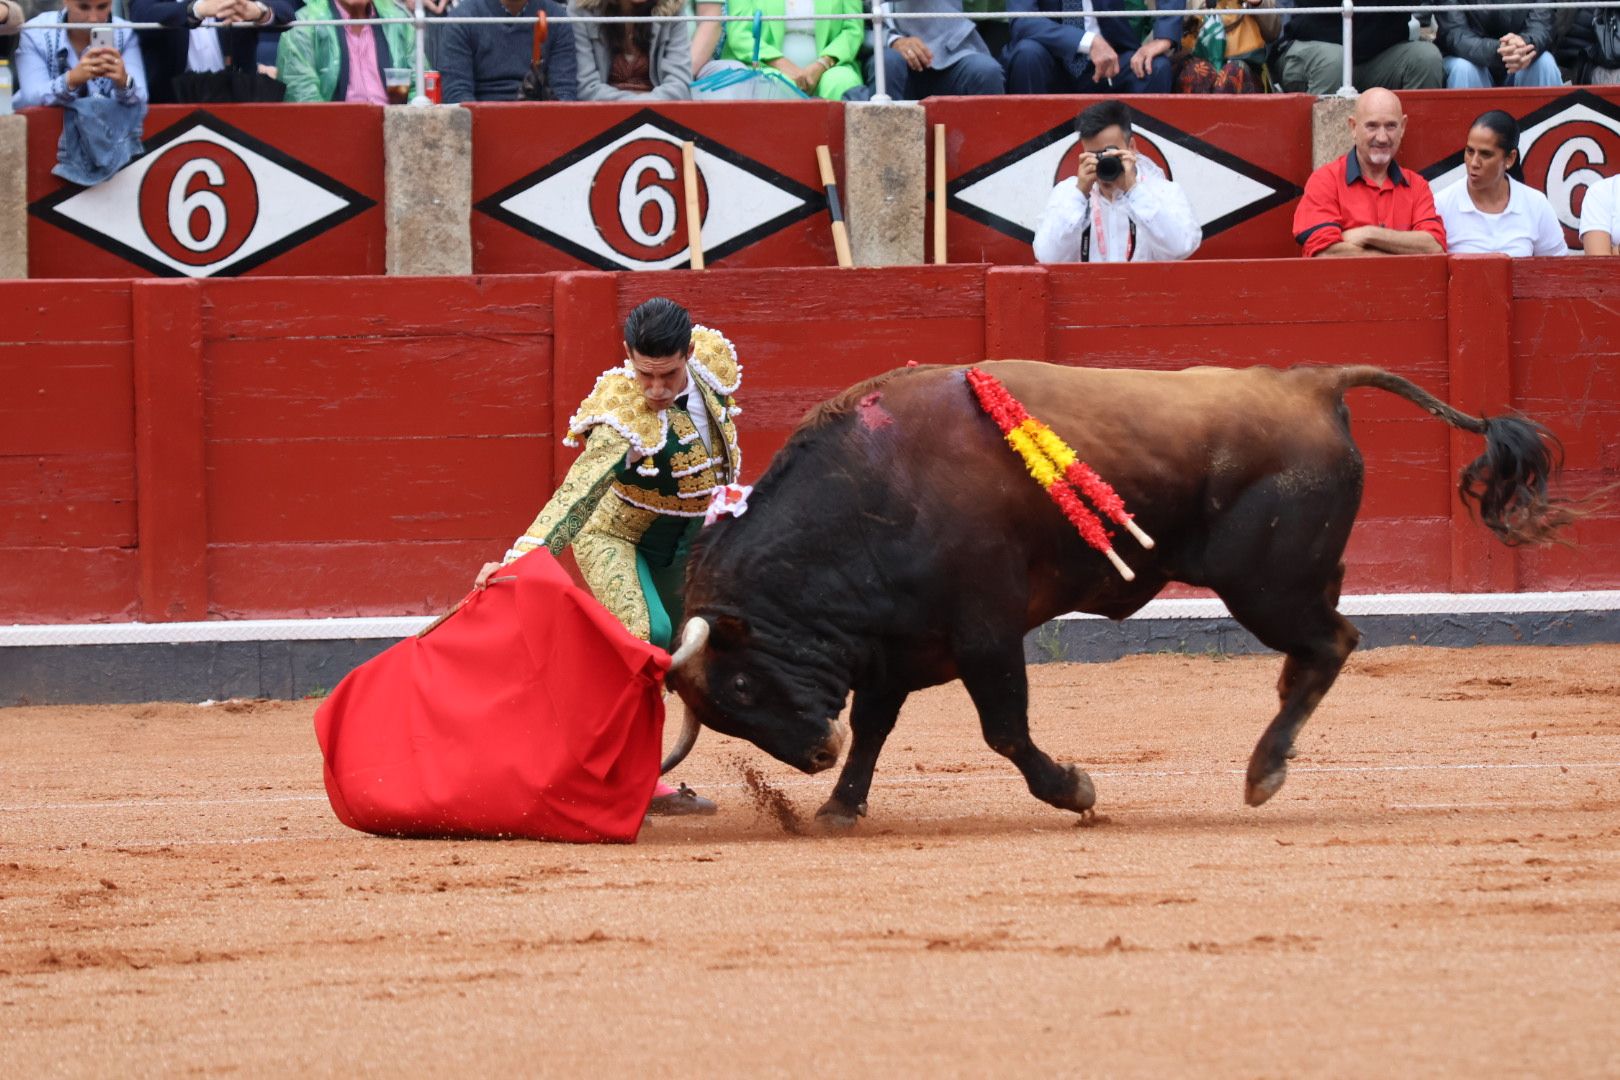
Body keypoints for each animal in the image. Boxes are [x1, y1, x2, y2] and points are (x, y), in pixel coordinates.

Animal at [654, 362, 1568, 829]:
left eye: (742, 685)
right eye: (729, 709)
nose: (815, 753)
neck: (875, 491)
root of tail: (1308, 382)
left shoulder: (986, 633)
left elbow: (1004, 730)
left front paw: (1076, 791)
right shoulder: (895, 644)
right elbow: (879, 727)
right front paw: (841, 807)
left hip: (1264, 586)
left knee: (1334, 641)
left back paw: (1265, 771)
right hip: (1289, 579)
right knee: (1323, 638)